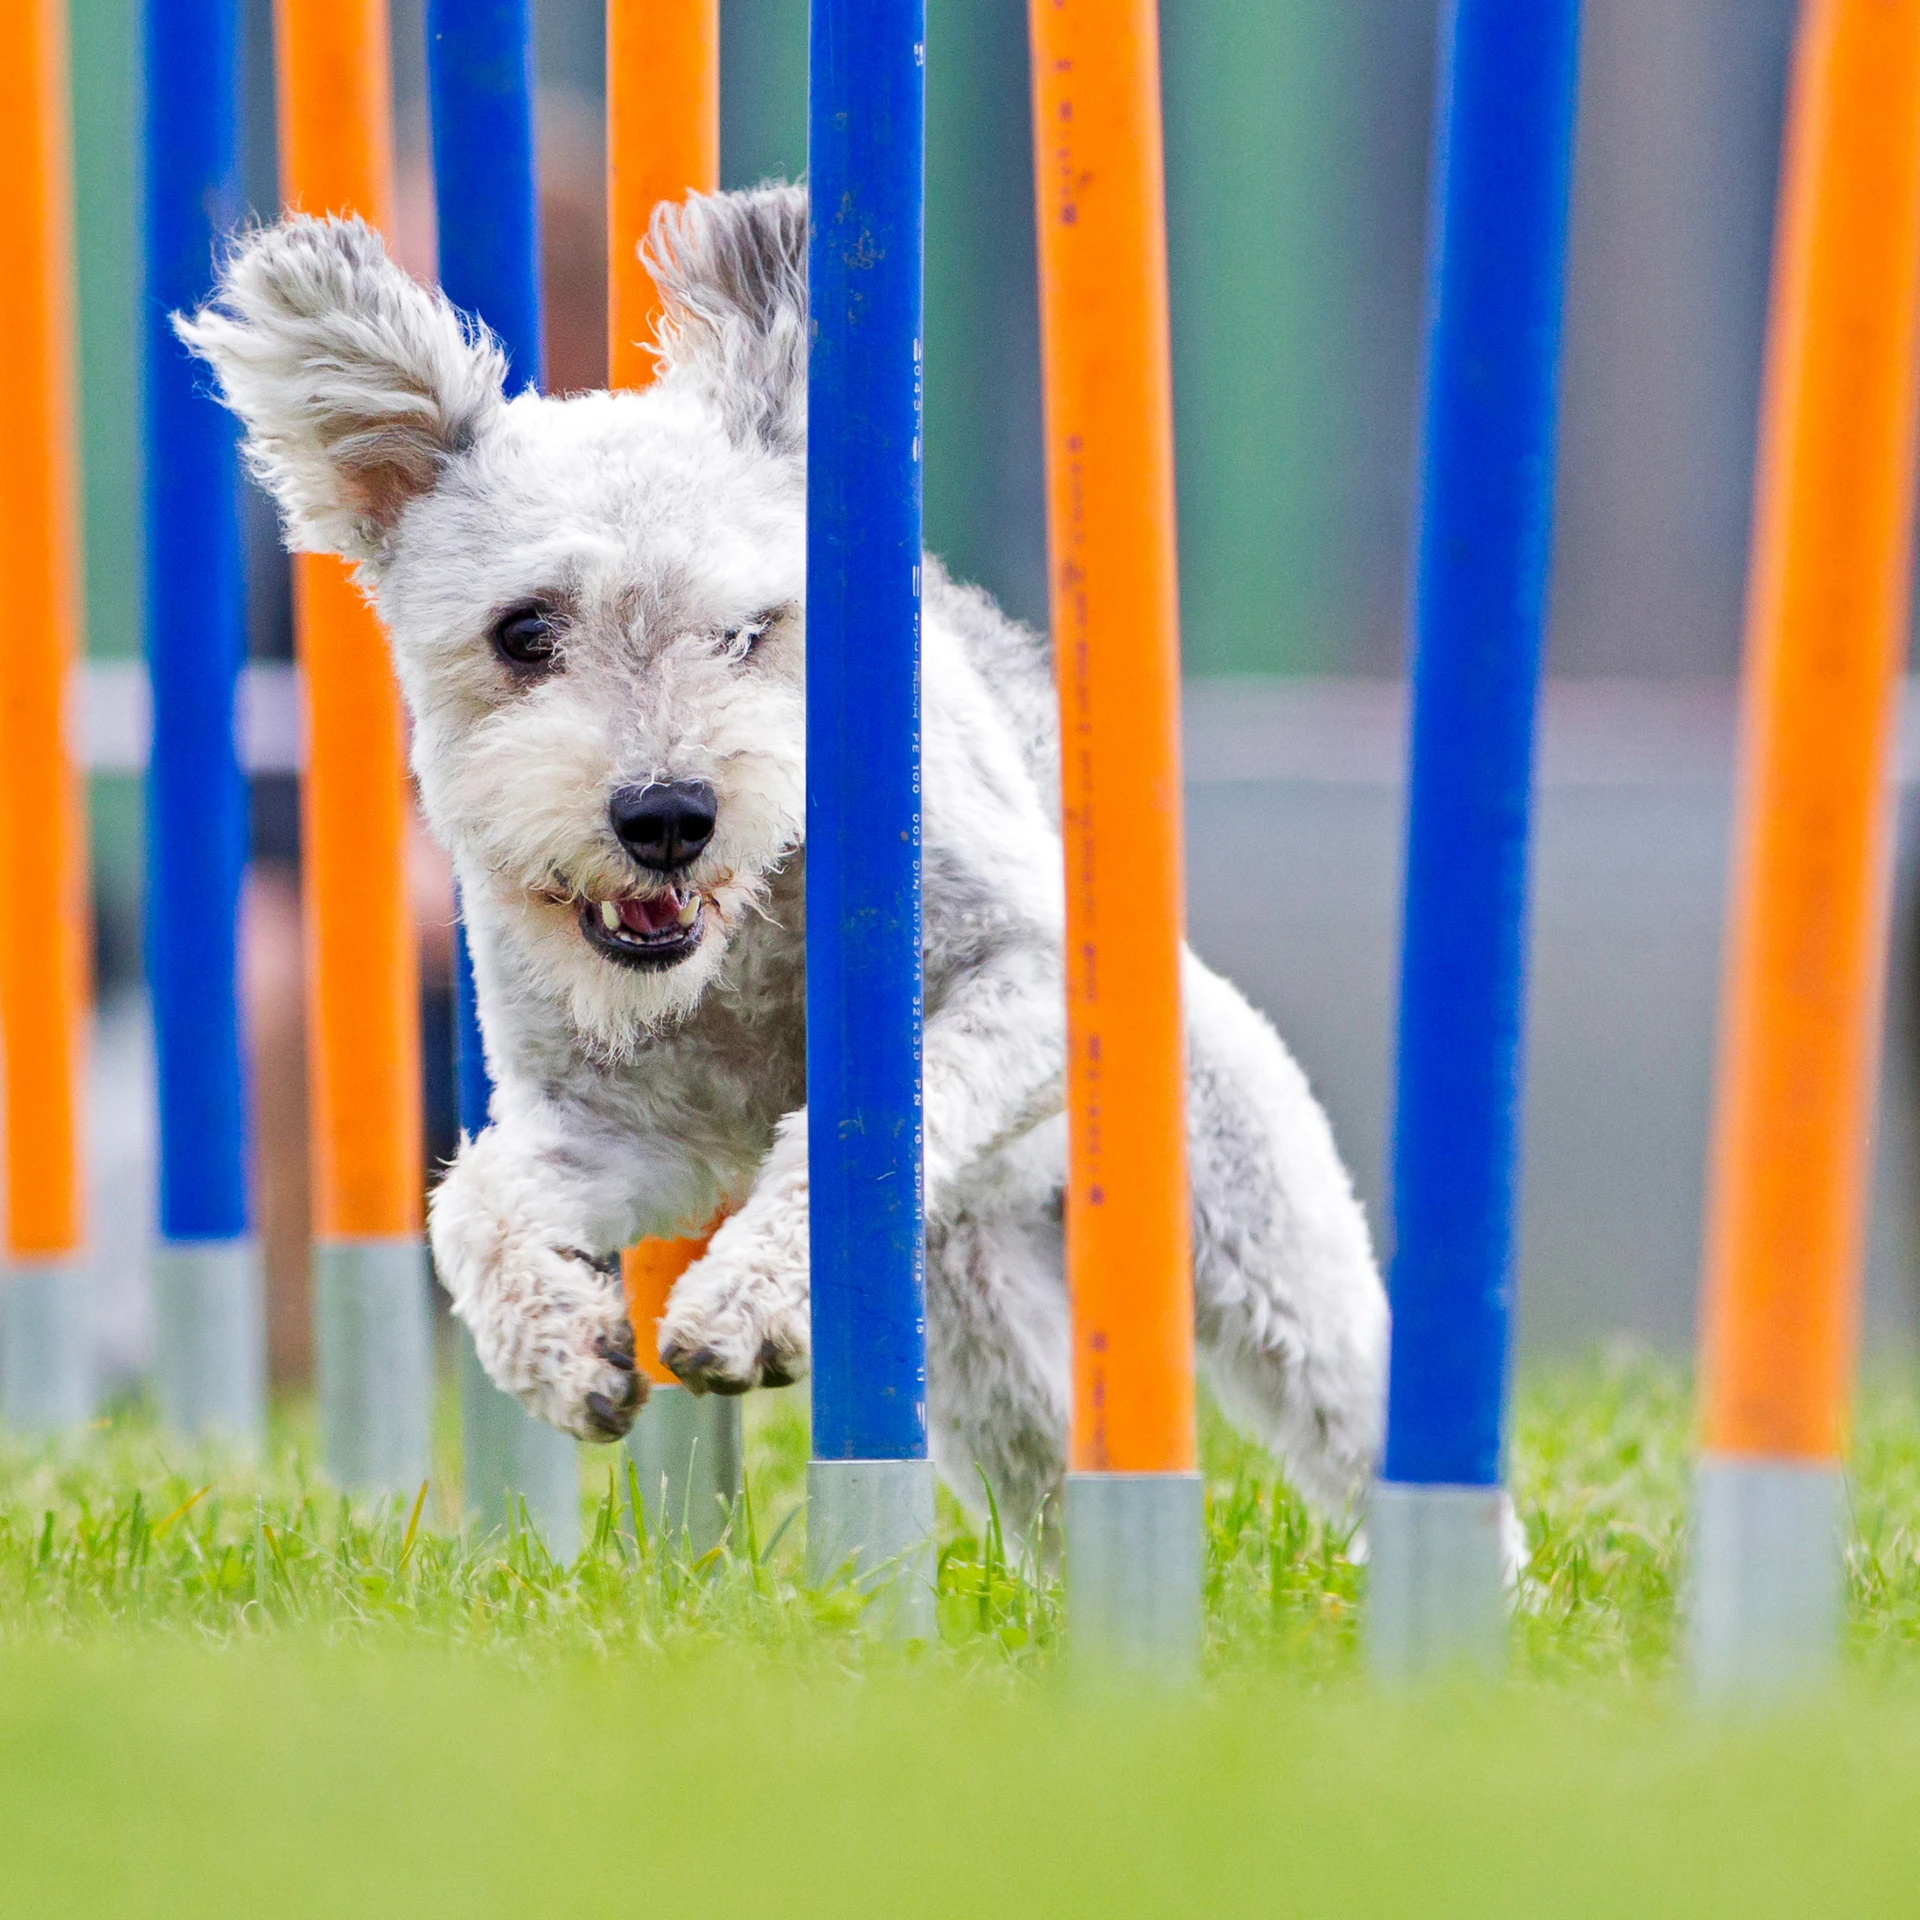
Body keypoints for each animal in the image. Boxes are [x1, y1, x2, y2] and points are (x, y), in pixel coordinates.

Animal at [180, 187, 1390, 1543]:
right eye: (524, 630)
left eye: (748, 630)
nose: (667, 814)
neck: (744, 938)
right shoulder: (626, 1122)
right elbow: (474, 1201)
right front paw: (565, 1349)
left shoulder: (1021, 978)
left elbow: (863, 1131)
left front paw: (741, 1308)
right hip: (981, 1330)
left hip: (1251, 1224)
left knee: (1342, 1399)